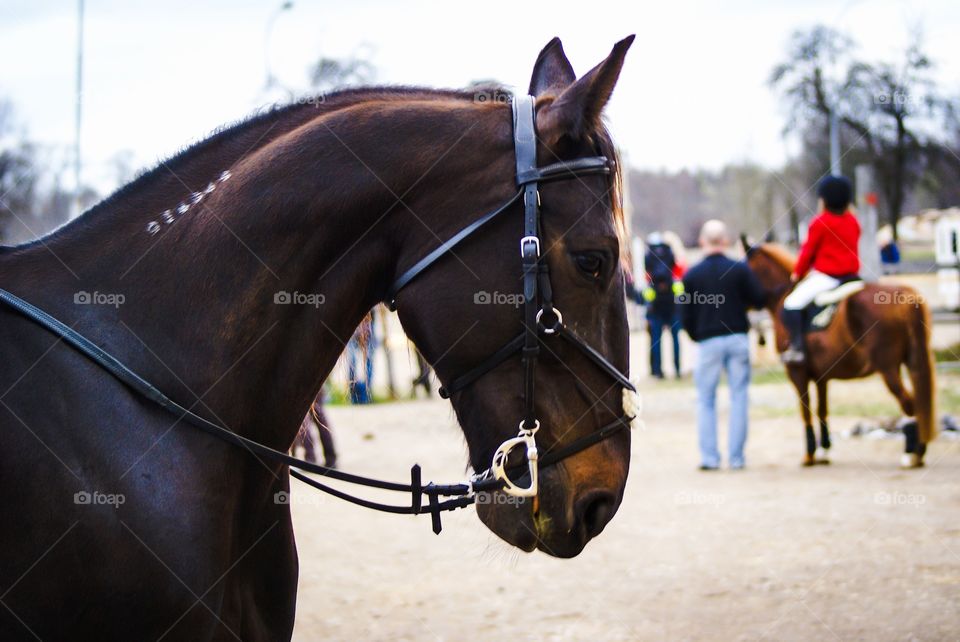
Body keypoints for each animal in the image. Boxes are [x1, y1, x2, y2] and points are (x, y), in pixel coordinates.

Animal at [742, 240, 936, 468]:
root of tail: (906, 294)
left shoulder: (797, 372)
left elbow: (805, 411)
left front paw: (809, 455)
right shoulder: (822, 377)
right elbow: (822, 409)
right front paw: (824, 451)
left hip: (888, 368)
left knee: (910, 405)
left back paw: (911, 453)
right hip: (911, 361)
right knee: (919, 405)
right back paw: (919, 451)